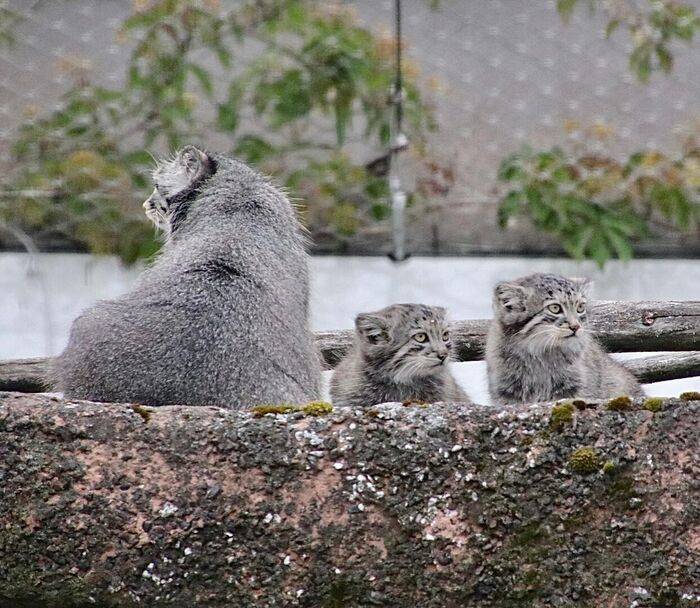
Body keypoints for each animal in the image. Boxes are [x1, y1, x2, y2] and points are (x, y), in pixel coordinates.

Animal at [484, 274, 644, 406]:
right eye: (555, 308)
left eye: (580, 307)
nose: (576, 326)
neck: (540, 356)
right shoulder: (506, 391)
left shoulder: (572, 388)